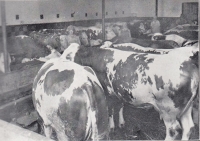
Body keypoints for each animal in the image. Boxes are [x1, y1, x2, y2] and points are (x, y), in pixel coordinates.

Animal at [62, 42, 198, 140]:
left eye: (68, 56)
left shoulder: (108, 93)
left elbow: (110, 109)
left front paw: (111, 127)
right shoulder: (119, 92)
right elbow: (120, 106)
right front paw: (121, 123)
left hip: (168, 109)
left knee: (173, 131)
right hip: (186, 106)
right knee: (188, 127)